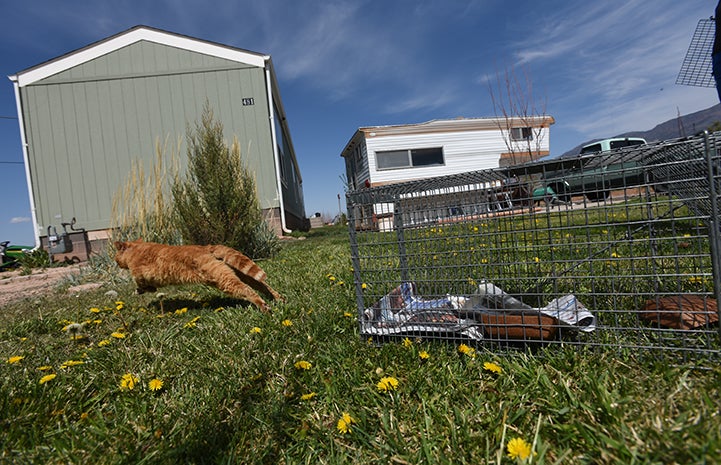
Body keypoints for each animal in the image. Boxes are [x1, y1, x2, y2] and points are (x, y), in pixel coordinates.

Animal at [113, 239, 282, 312]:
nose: (116, 263)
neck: (136, 249)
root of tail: (207, 247)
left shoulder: (140, 274)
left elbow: (142, 285)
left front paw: (141, 291)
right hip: (239, 273)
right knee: (262, 285)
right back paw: (279, 298)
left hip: (223, 279)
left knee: (247, 290)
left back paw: (263, 306)